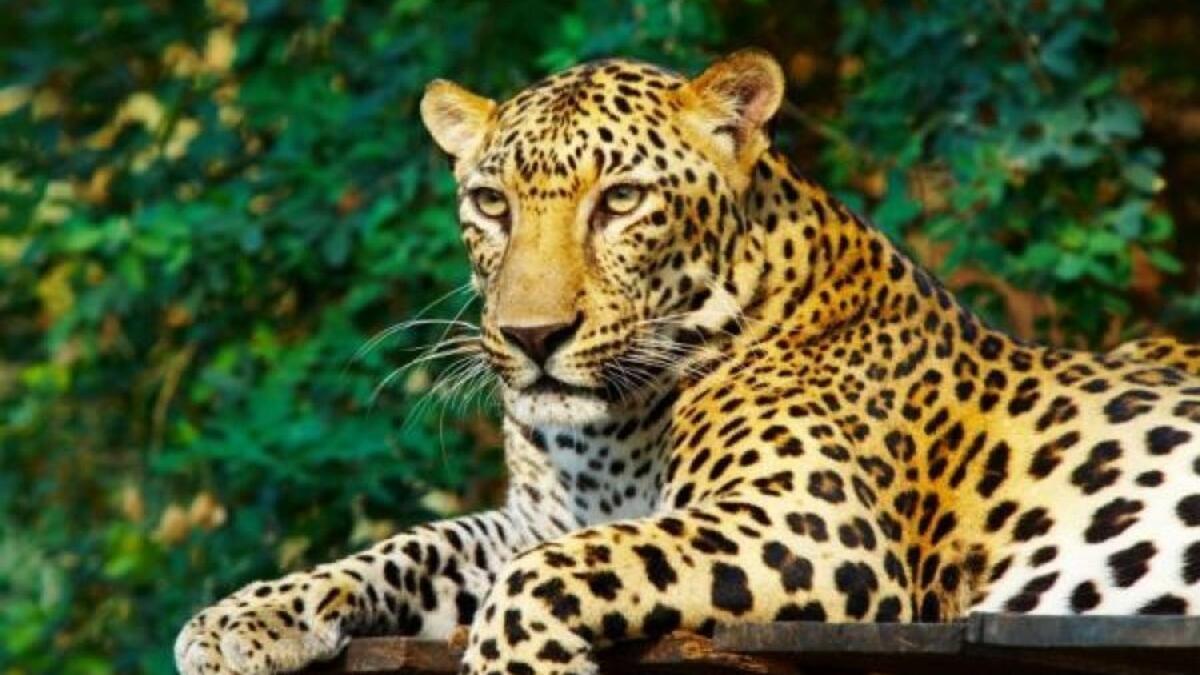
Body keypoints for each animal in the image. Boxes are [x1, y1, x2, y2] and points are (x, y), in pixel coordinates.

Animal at [175, 50, 1200, 675]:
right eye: (492, 204)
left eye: (623, 201)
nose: (532, 336)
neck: (607, 435)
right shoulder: (531, 518)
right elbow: (411, 545)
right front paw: (245, 615)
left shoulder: (815, 521)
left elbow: (555, 569)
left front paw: (516, 660)